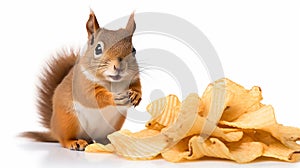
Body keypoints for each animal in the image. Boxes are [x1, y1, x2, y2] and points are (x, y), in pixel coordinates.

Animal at [22, 11, 142, 151]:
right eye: (98, 49)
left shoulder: (134, 78)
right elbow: (92, 97)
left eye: (133, 50)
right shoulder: (82, 83)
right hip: (68, 120)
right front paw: (114, 98)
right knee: (63, 139)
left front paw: (136, 95)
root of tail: (53, 129)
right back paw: (75, 142)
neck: (113, 82)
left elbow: (138, 87)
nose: (119, 67)